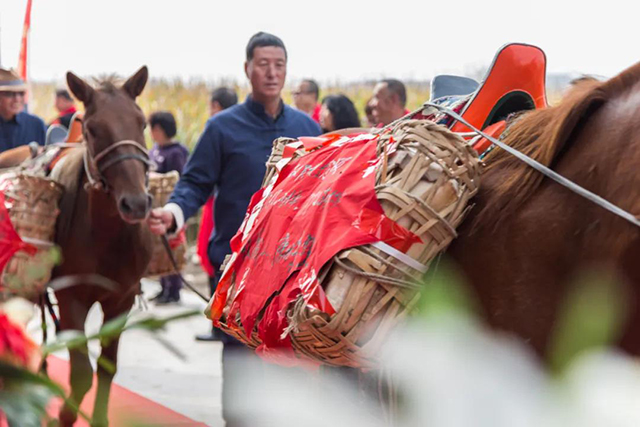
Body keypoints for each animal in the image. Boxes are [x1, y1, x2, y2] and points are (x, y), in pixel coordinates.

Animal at [48, 68, 153, 426]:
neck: (106, 236)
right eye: (93, 129)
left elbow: (107, 368)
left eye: (141, 123)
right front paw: (62, 415)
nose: (136, 203)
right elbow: (81, 373)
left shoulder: (121, 300)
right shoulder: (70, 297)